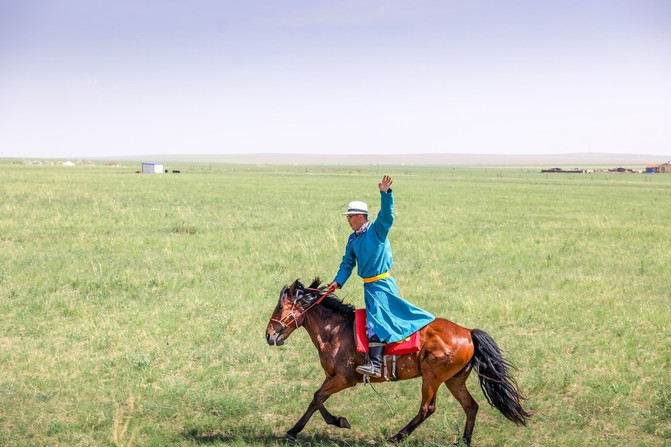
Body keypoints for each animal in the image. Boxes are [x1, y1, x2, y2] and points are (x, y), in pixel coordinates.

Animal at [266, 278, 532, 446]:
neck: (335, 330)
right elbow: (316, 399)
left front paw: (339, 421)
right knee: (471, 406)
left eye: (280, 306)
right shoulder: (331, 377)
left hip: (432, 378)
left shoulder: (345, 378)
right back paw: (465, 441)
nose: (269, 334)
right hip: (454, 381)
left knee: (427, 408)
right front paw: (294, 430)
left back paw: (397, 436)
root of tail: (468, 332)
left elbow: (318, 397)